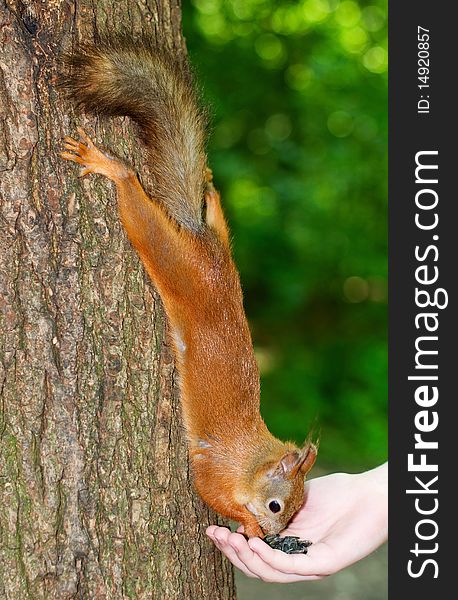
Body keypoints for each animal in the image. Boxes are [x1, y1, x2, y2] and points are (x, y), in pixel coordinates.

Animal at [59, 39, 316, 540]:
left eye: (298, 512)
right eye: (276, 506)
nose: (276, 536)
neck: (251, 461)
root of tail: (200, 245)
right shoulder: (215, 469)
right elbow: (210, 492)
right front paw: (247, 525)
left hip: (219, 257)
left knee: (216, 225)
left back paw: (211, 197)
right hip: (174, 262)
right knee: (139, 206)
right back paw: (112, 168)